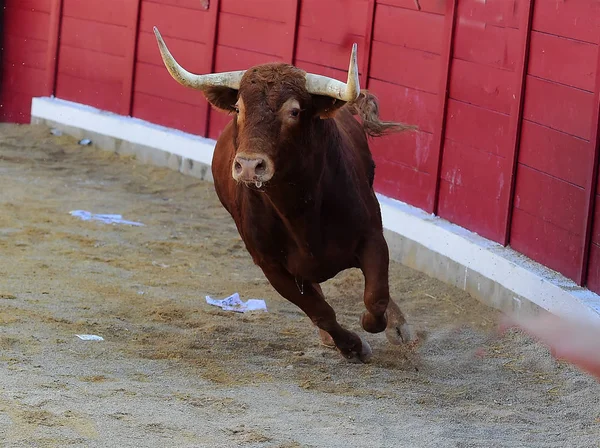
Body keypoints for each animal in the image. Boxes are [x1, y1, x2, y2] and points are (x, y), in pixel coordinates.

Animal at [155, 27, 418, 364]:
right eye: (238, 108)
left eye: (293, 111)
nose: (249, 165)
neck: (298, 207)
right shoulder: (271, 266)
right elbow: (320, 312)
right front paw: (352, 346)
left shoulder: (372, 236)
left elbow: (376, 298)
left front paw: (388, 328)